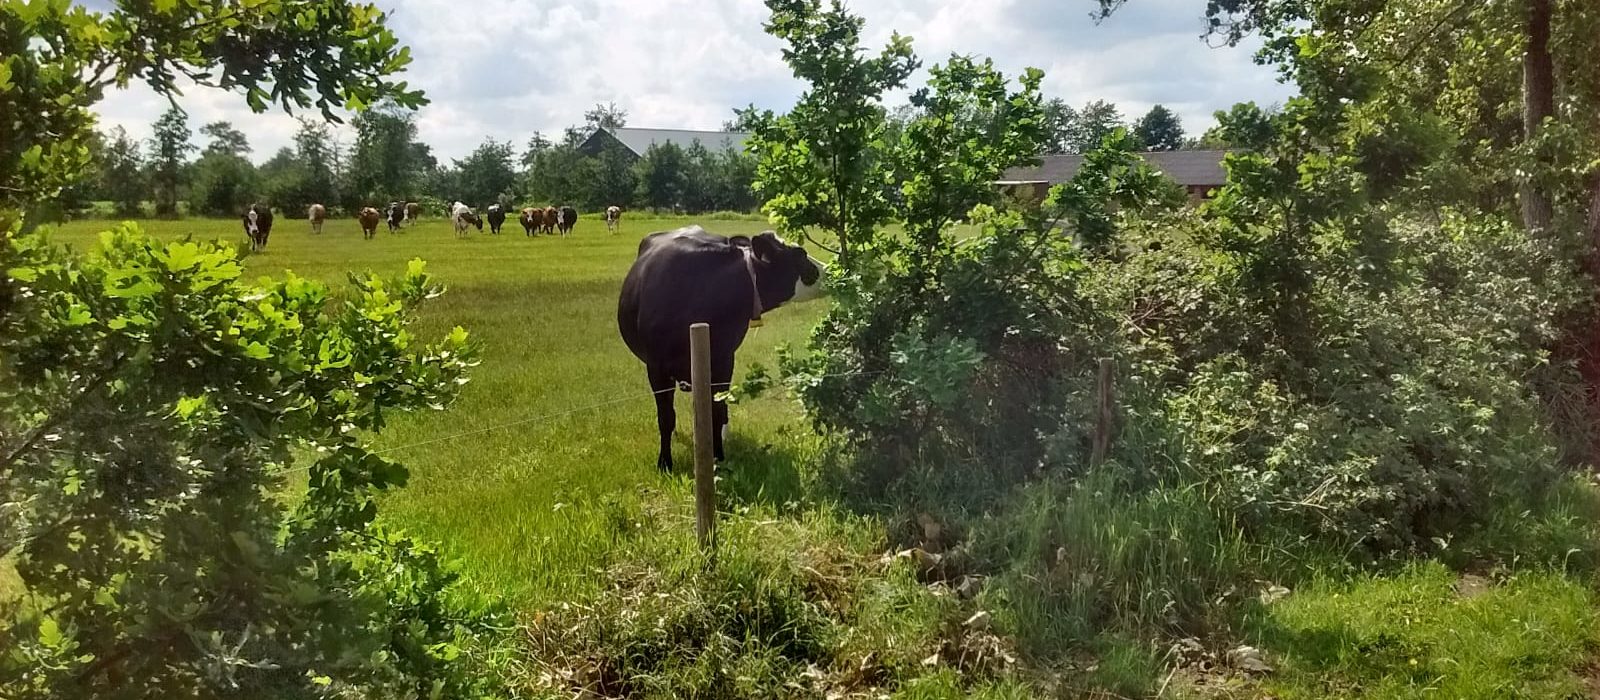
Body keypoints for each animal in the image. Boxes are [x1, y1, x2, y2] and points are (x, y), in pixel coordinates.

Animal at [614, 228, 825, 469]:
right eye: (800, 254)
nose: (829, 270)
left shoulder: (723, 360)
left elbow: (717, 408)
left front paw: (718, 457)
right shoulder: (656, 367)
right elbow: (666, 417)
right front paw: (665, 463)